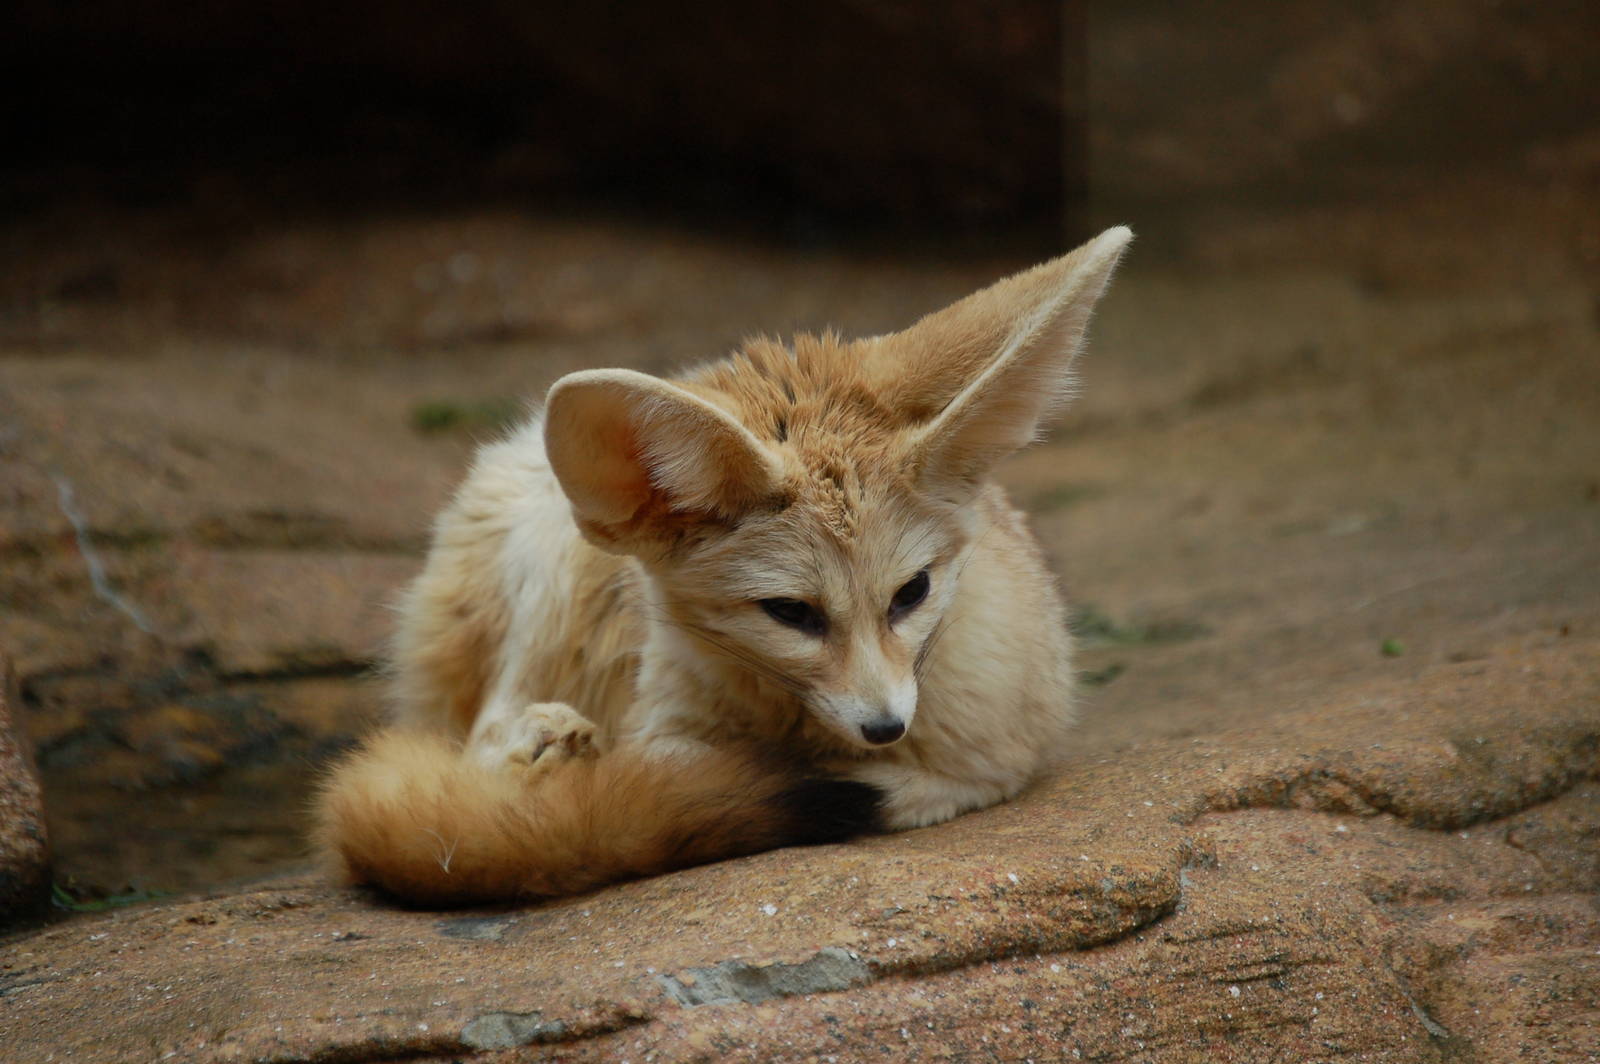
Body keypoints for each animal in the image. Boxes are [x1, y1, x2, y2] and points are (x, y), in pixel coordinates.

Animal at [315, 226, 1132, 906]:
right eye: (791, 613)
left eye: (913, 593)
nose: (884, 728)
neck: (792, 733)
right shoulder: (664, 732)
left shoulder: (994, 758)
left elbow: (917, 787)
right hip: (548, 565)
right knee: (481, 736)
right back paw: (544, 744)